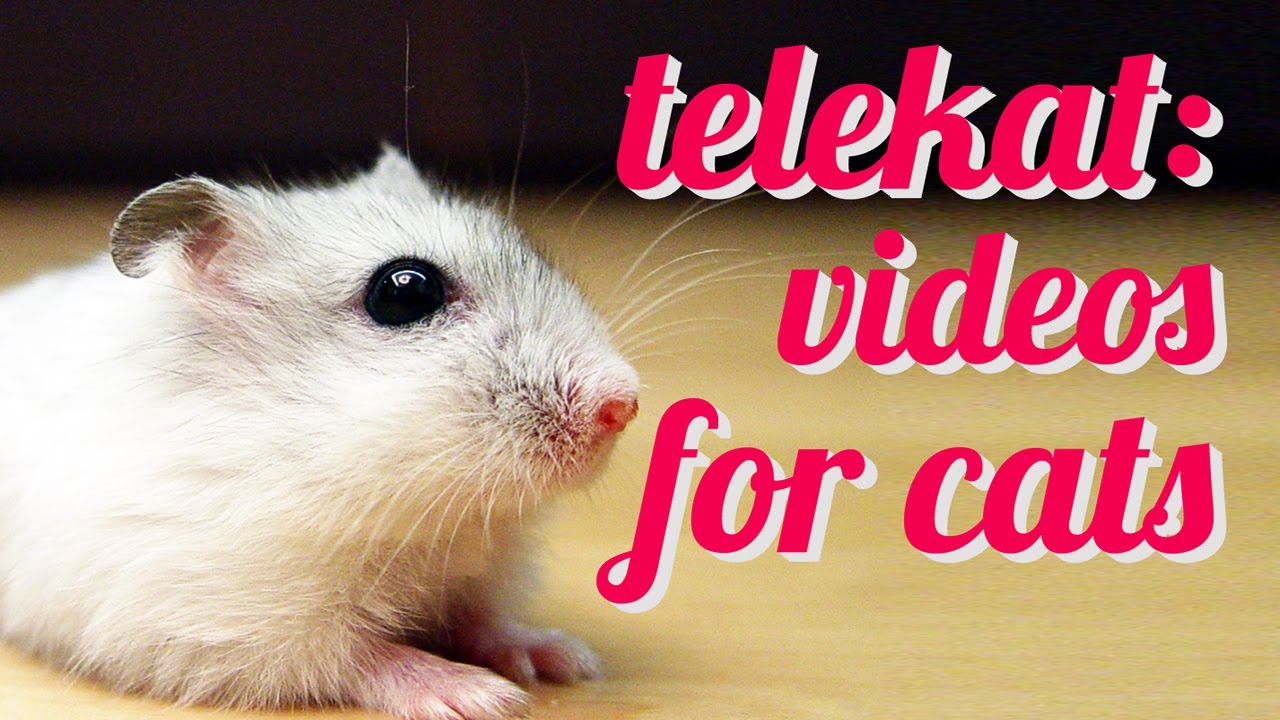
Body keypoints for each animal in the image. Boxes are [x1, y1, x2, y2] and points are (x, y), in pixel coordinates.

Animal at [0, 146, 640, 720]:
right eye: (405, 290)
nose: (624, 405)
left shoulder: (477, 572)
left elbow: (483, 620)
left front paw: (566, 660)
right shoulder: (226, 621)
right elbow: (361, 657)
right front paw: (482, 698)